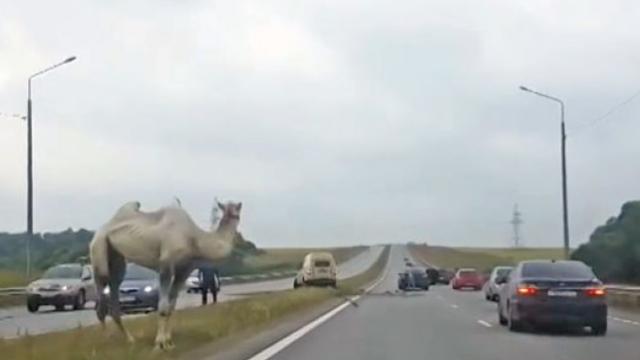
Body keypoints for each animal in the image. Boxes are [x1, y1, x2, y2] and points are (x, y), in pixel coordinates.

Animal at [89, 200, 241, 348]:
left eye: (236, 209)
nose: (235, 214)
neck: (193, 239)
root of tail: (101, 229)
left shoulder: (184, 270)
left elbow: (171, 306)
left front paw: (169, 341)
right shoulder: (166, 265)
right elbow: (162, 308)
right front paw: (160, 343)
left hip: (117, 258)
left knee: (115, 287)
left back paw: (130, 340)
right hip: (98, 248)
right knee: (101, 296)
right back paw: (106, 340)